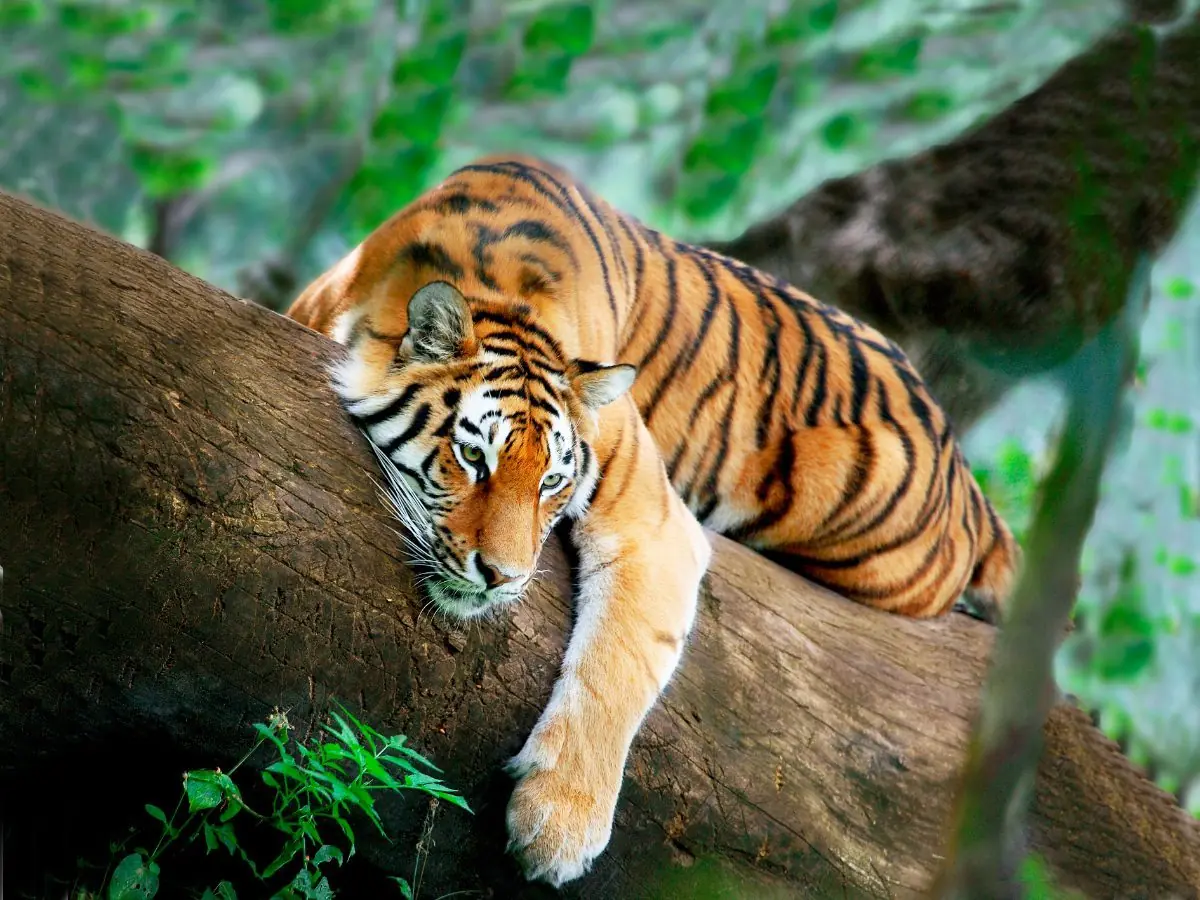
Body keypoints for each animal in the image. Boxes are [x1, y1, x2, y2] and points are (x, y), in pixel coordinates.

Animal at [285, 155, 1019, 887]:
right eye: (473, 458)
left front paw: (559, 827)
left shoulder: (654, 521)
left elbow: (618, 664)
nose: (502, 578)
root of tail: (962, 468)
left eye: (551, 481)